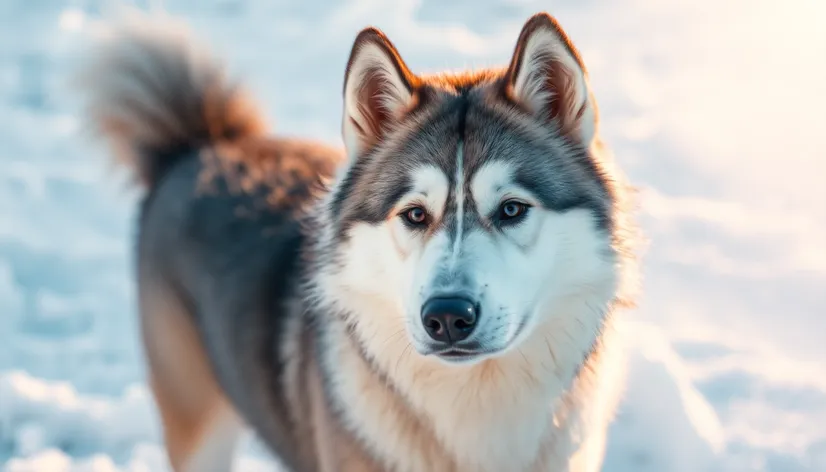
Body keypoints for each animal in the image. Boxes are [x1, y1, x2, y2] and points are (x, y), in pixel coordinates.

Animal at [77, 8, 636, 472]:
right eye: (414, 214)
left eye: (512, 209)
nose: (447, 317)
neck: (476, 409)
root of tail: (200, 145)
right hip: (197, 424)